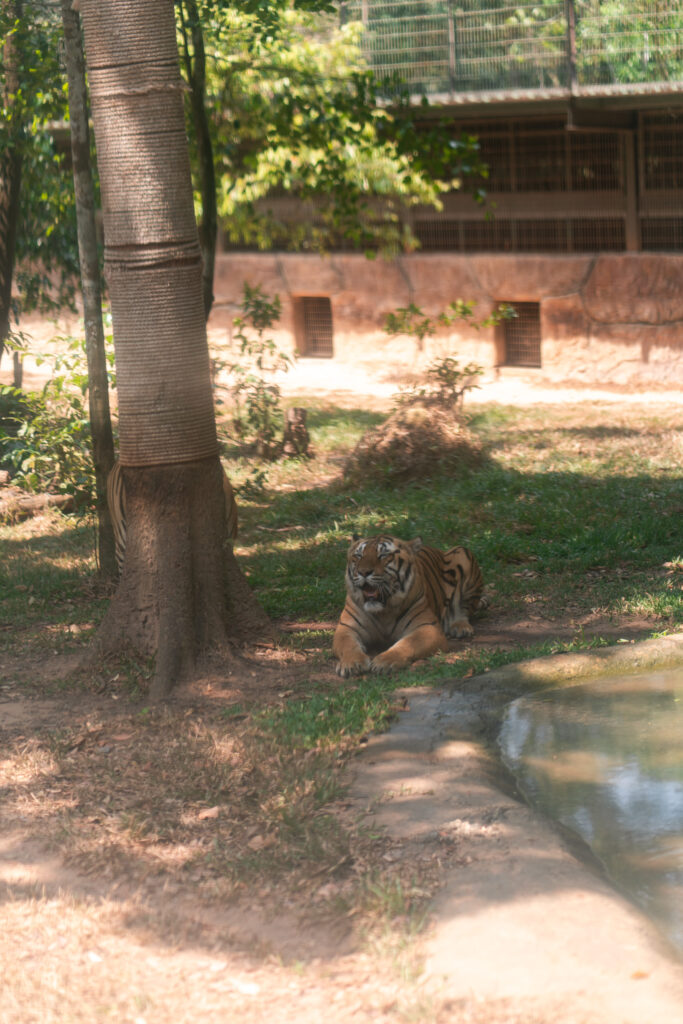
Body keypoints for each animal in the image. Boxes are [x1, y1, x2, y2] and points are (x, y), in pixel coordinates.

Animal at [333, 532, 489, 675]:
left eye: (383, 555)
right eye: (358, 556)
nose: (363, 572)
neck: (383, 611)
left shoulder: (427, 628)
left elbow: (407, 644)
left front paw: (385, 661)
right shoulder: (346, 628)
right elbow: (348, 646)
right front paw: (352, 663)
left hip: (463, 552)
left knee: (463, 607)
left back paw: (460, 626)